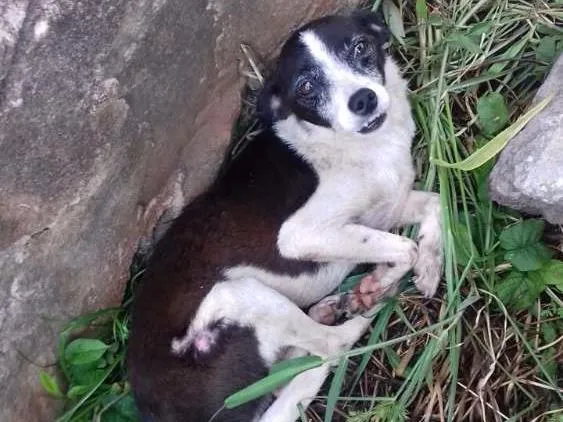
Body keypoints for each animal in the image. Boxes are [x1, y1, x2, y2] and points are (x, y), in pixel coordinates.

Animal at [126, 10, 440, 422]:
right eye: (305, 87)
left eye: (360, 47)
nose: (363, 99)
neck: (361, 146)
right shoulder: (301, 235)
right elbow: (404, 248)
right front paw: (379, 281)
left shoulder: (381, 210)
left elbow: (434, 205)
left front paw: (430, 269)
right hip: (239, 296)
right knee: (332, 347)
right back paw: (358, 311)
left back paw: (331, 308)